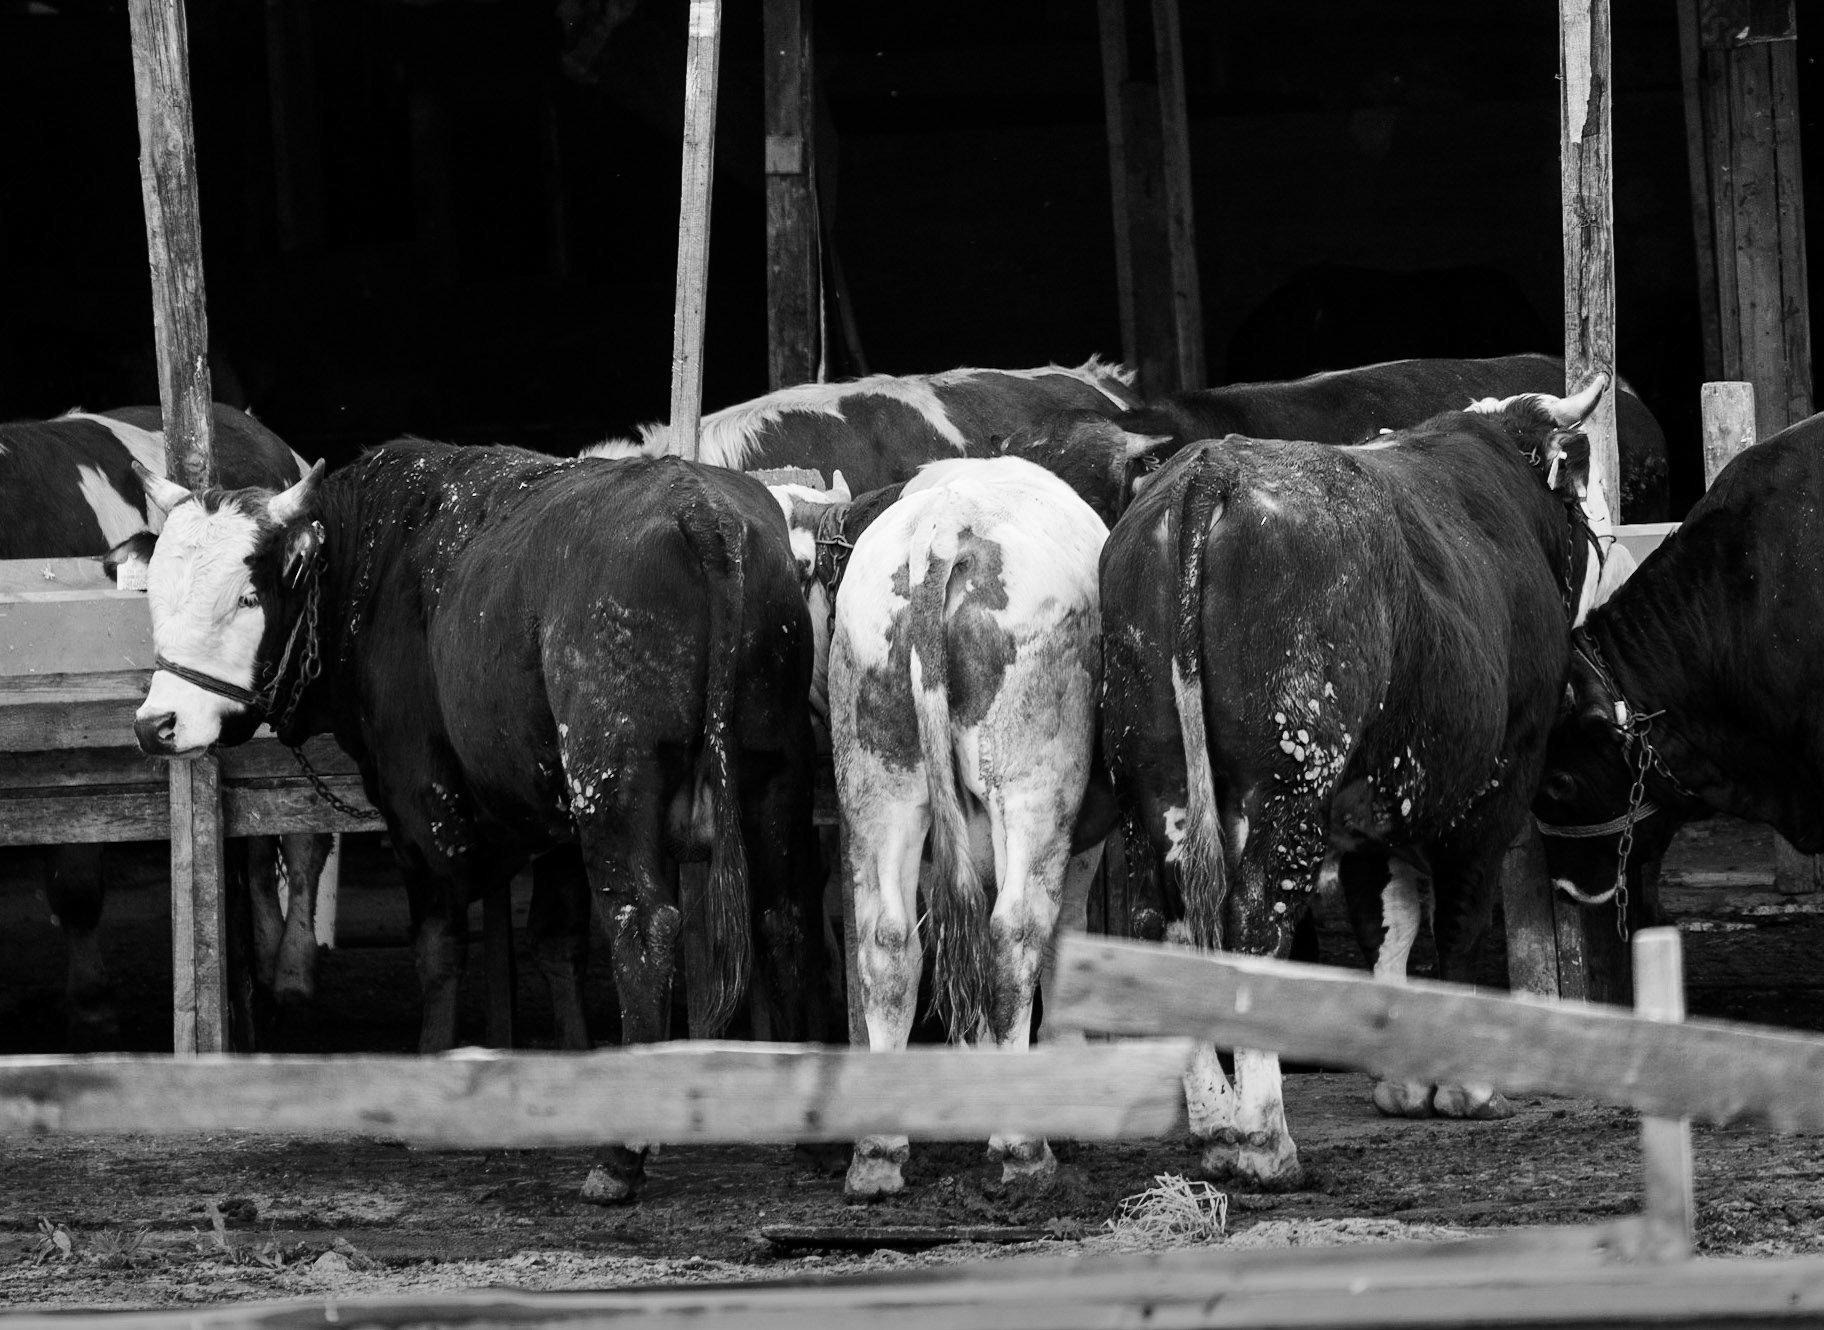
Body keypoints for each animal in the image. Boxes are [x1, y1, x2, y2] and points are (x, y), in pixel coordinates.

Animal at [128, 439, 819, 1203]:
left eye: (248, 596)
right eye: (155, 594)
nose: (157, 725)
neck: (378, 561)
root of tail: (700, 508)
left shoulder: (423, 806)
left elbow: (438, 946)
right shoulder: (555, 819)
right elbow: (556, 940)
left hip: (612, 780)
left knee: (643, 926)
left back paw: (620, 1157)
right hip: (773, 772)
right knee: (781, 918)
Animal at [807, 457, 1109, 1199]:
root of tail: (947, 531)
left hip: (880, 778)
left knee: (888, 944)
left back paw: (878, 1154)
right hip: (1033, 786)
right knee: (1012, 934)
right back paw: (1024, 1148)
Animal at [1097, 380, 1606, 1186]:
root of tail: (1212, 468)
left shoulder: (1375, 803)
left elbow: (1384, 921)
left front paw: (1401, 1078)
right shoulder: (1496, 788)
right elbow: (1459, 919)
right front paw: (1466, 1087)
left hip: (1148, 786)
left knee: (1164, 926)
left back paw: (1214, 1125)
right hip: (1290, 782)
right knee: (1256, 923)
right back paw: (1263, 1139)